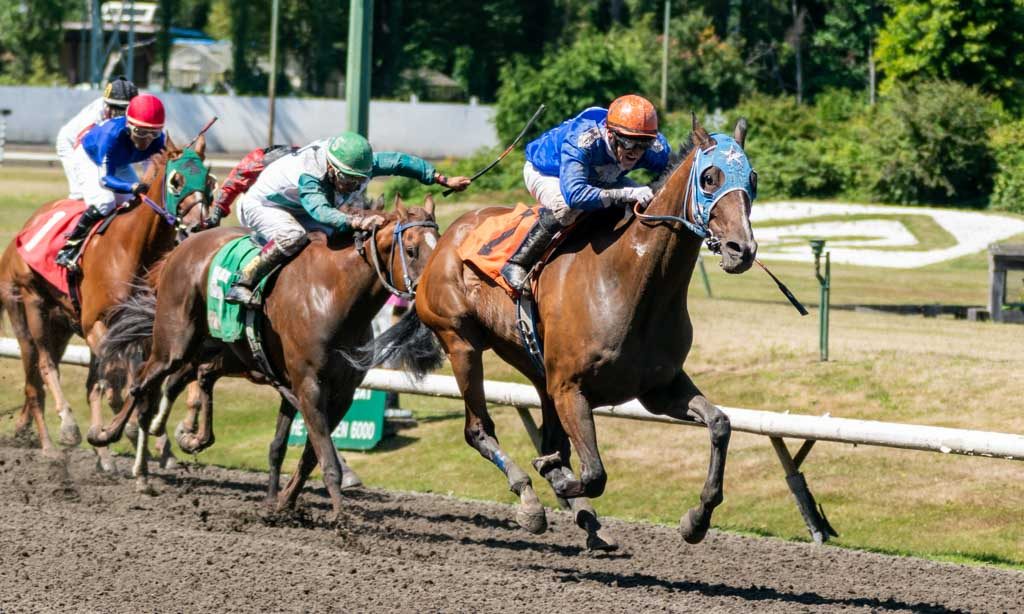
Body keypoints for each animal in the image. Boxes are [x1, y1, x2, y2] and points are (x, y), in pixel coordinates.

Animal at [0, 135, 212, 470]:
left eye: (209, 180)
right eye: (176, 181)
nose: (199, 227)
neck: (133, 248)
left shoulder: (145, 329)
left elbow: (136, 380)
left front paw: (156, 443)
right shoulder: (96, 325)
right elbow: (119, 379)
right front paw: (126, 432)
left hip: (61, 324)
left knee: (45, 380)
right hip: (32, 307)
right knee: (45, 367)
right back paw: (59, 436)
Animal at [90, 196, 438, 513]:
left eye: (438, 247)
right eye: (411, 250)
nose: (427, 296)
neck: (332, 296)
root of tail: (185, 245)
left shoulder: (339, 392)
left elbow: (299, 453)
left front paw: (281, 503)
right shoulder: (309, 385)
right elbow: (326, 460)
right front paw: (343, 522)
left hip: (223, 349)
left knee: (197, 375)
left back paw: (186, 439)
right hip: (175, 342)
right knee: (143, 383)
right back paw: (109, 435)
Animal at [356, 117, 757, 548]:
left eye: (751, 178)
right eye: (710, 177)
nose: (742, 249)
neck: (629, 281)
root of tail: (447, 238)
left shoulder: (658, 388)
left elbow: (720, 424)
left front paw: (696, 520)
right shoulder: (570, 388)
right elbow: (593, 473)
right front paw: (557, 479)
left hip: (532, 362)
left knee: (549, 434)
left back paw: (586, 518)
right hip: (461, 343)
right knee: (478, 429)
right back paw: (531, 500)